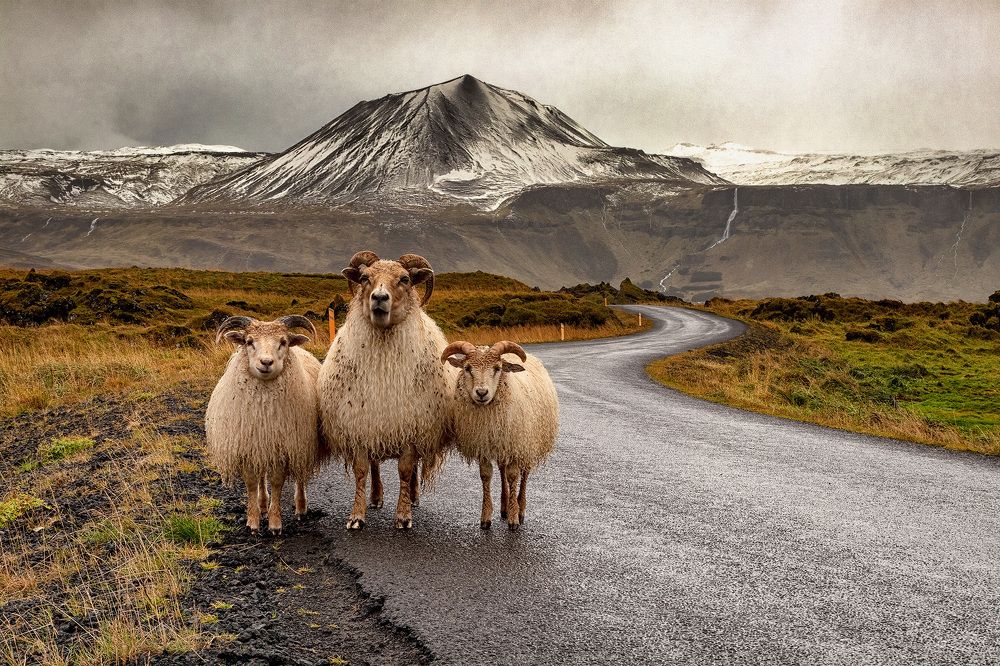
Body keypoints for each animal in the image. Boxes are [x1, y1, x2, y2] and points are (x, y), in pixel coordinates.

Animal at [204, 314, 326, 535]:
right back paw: (262, 504)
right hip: (260, 445)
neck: (263, 411)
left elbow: (277, 483)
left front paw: (275, 523)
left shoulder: (283, 447)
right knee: (261, 477)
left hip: (300, 444)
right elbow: (252, 482)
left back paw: (301, 507)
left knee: (300, 476)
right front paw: (253, 520)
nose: (266, 362)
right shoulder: (249, 446)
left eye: (283, 342)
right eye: (249, 341)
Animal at [317, 251, 453, 530]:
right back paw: (377, 497)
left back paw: (413, 496)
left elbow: (405, 470)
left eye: (404, 279)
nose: (379, 298)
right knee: (375, 464)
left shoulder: (411, 428)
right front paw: (356, 516)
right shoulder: (360, 425)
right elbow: (361, 471)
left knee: (412, 470)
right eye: (364, 278)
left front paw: (403, 515)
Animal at [441, 340, 559, 531]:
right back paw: (504, 506)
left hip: (528, 442)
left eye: (497, 368)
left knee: (524, 474)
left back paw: (520, 507)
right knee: (502, 471)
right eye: (467, 368)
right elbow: (486, 476)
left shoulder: (515, 445)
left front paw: (514, 518)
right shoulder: (484, 445)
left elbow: (513, 477)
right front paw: (486, 517)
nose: (481, 393)